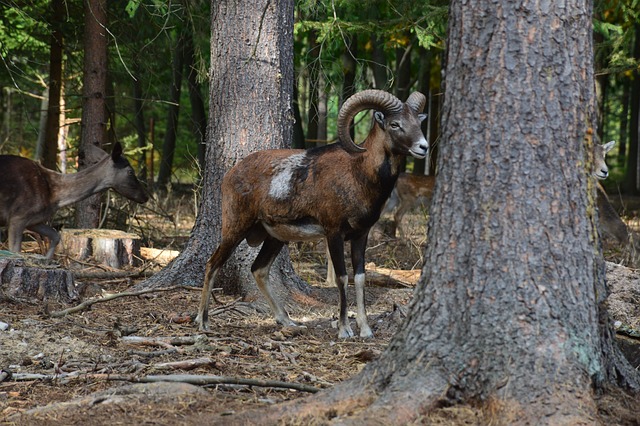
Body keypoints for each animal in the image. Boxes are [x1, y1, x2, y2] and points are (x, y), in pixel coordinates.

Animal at [0, 141, 148, 258]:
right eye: (130, 172)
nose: (145, 196)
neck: (55, 198)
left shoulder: (34, 220)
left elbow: (56, 236)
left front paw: (45, 260)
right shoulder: (18, 216)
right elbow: (15, 251)